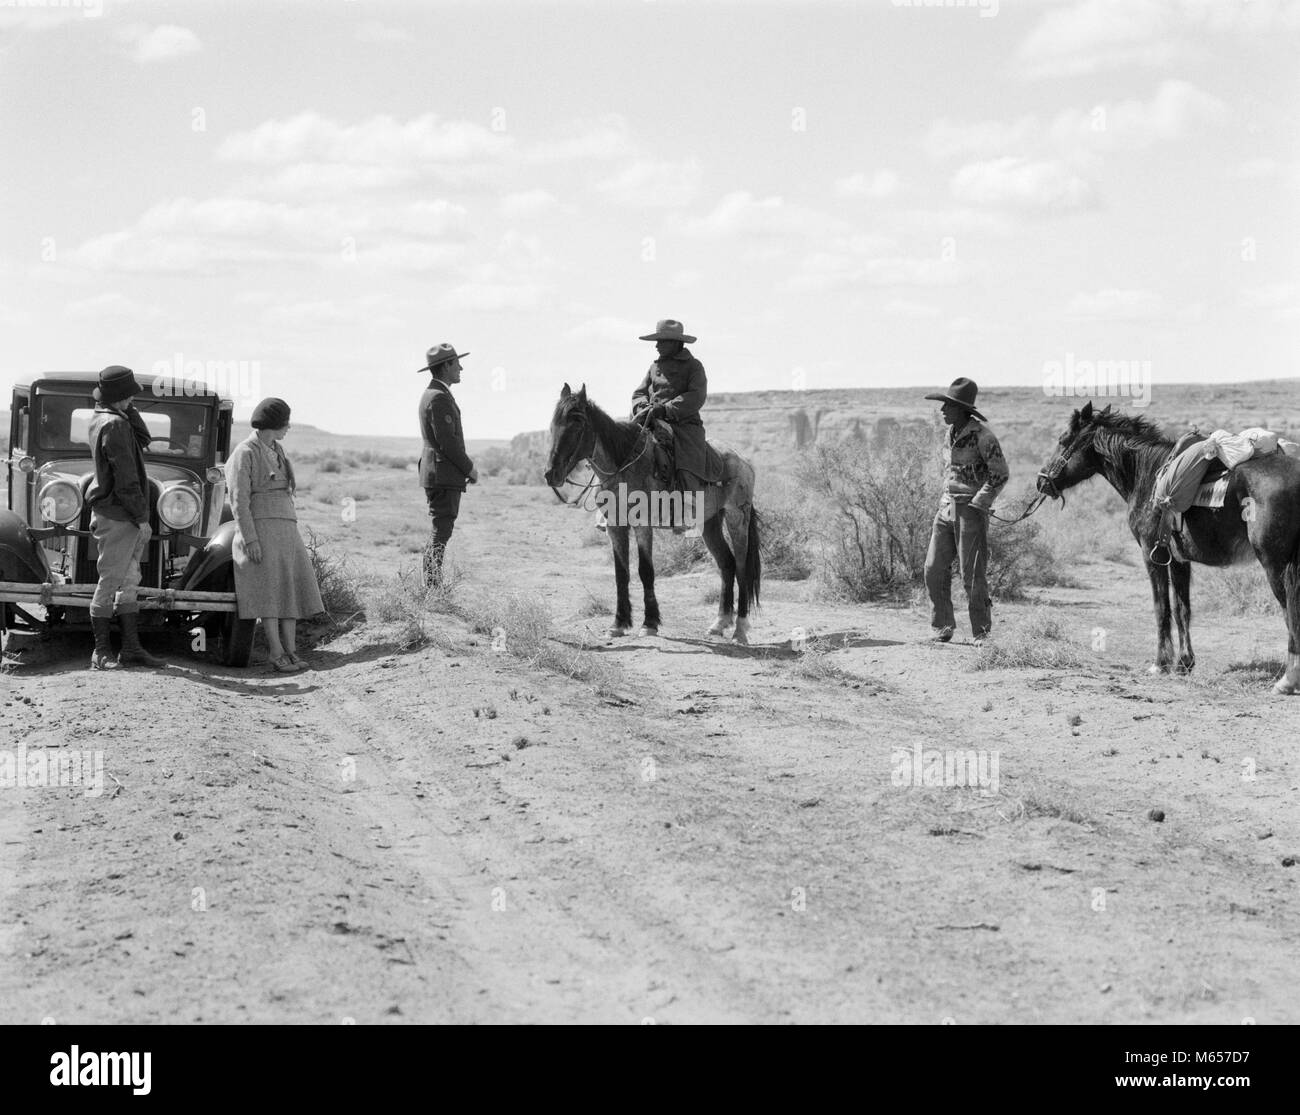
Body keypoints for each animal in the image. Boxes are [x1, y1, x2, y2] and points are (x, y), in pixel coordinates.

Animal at [540, 382, 759, 641]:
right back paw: (719, 622)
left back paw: (740, 629)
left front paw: (650, 623)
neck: (625, 466)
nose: (550, 474)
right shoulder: (615, 526)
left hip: (737, 518)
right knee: (727, 564)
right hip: (710, 523)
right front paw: (619, 623)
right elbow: (621, 573)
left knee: (743, 567)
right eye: (554, 424)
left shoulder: (643, 524)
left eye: (578, 423)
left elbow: (645, 571)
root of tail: (743, 462)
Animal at [1040, 400, 1300, 696]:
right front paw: (1184, 663)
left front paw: (1160, 664)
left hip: (1275, 565)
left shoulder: (1152, 555)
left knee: (1289, 612)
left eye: (1063, 440)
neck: (1148, 476)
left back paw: (1287, 680)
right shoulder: (1178, 560)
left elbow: (1161, 607)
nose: (1041, 481)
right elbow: (1181, 609)